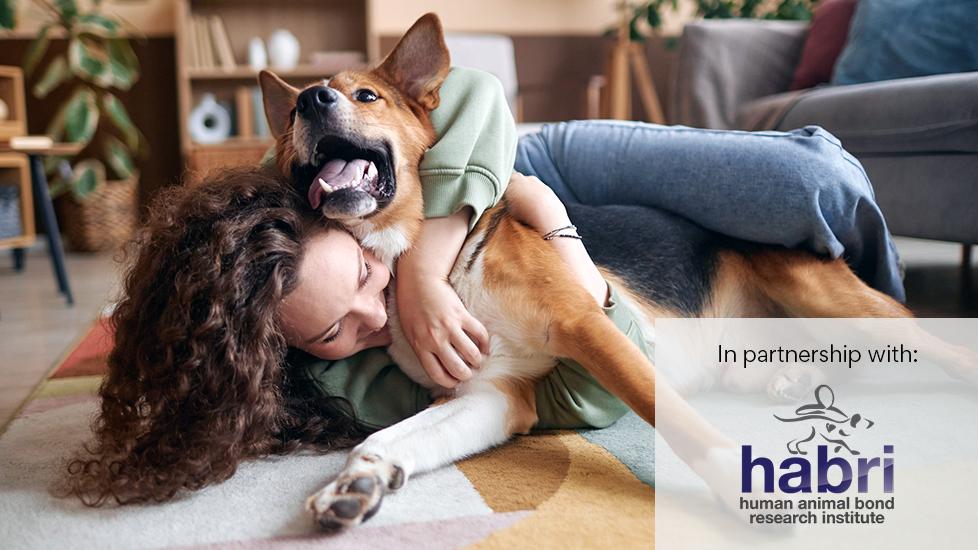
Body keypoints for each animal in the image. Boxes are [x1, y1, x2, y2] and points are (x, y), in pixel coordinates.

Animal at [255, 11, 956, 532]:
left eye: (366, 95)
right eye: (290, 118)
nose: (311, 98)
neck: (419, 267)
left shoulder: (585, 326)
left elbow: (673, 419)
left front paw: (740, 485)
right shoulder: (491, 395)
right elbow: (393, 438)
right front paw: (360, 479)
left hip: (847, 307)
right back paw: (791, 383)